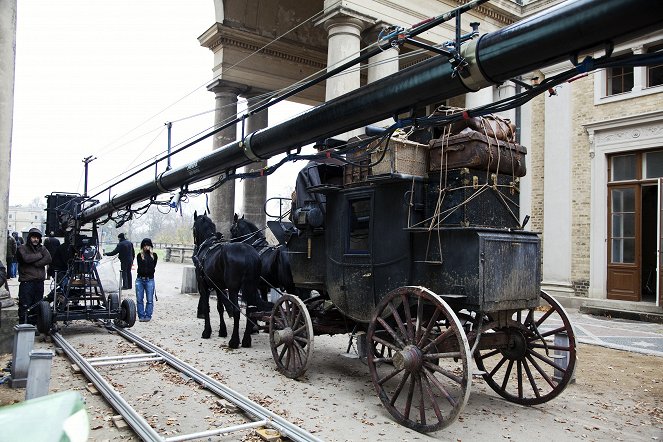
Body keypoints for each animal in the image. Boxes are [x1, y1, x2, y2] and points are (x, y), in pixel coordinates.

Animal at [192, 212, 262, 348]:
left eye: (193, 228)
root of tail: (247, 253)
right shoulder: (219, 287)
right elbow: (220, 308)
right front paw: (222, 331)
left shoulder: (203, 286)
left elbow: (207, 307)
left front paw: (207, 331)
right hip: (251, 287)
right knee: (250, 310)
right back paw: (246, 340)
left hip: (234, 288)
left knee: (237, 311)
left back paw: (234, 341)